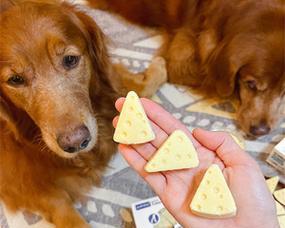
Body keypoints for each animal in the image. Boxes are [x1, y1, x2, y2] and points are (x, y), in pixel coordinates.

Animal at [0, 0, 166, 227]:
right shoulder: (18, 181)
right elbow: (61, 207)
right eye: (15, 80)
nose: (76, 143)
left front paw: (158, 67)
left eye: (70, 59)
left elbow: (137, 88)